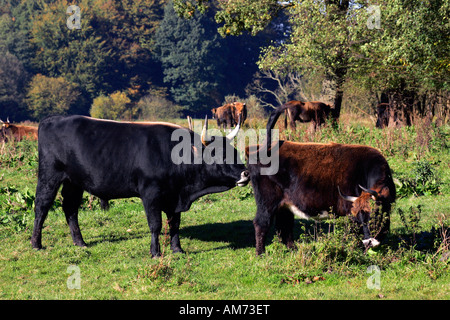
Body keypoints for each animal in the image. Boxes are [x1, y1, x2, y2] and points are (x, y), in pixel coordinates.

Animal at [31, 115, 250, 258]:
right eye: (218, 154)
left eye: (235, 151)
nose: (245, 173)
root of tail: (51, 120)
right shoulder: (150, 194)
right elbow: (156, 225)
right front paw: (155, 252)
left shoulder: (174, 197)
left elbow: (174, 224)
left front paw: (178, 249)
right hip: (50, 175)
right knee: (42, 207)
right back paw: (36, 244)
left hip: (74, 182)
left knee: (70, 208)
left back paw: (80, 243)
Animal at [244, 107, 396, 255]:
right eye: (359, 217)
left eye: (374, 215)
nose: (368, 242)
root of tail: (260, 150)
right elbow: (353, 233)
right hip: (267, 202)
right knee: (262, 223)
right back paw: (261, 253)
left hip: (284, 205)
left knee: (284, 225)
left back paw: (293, 250)